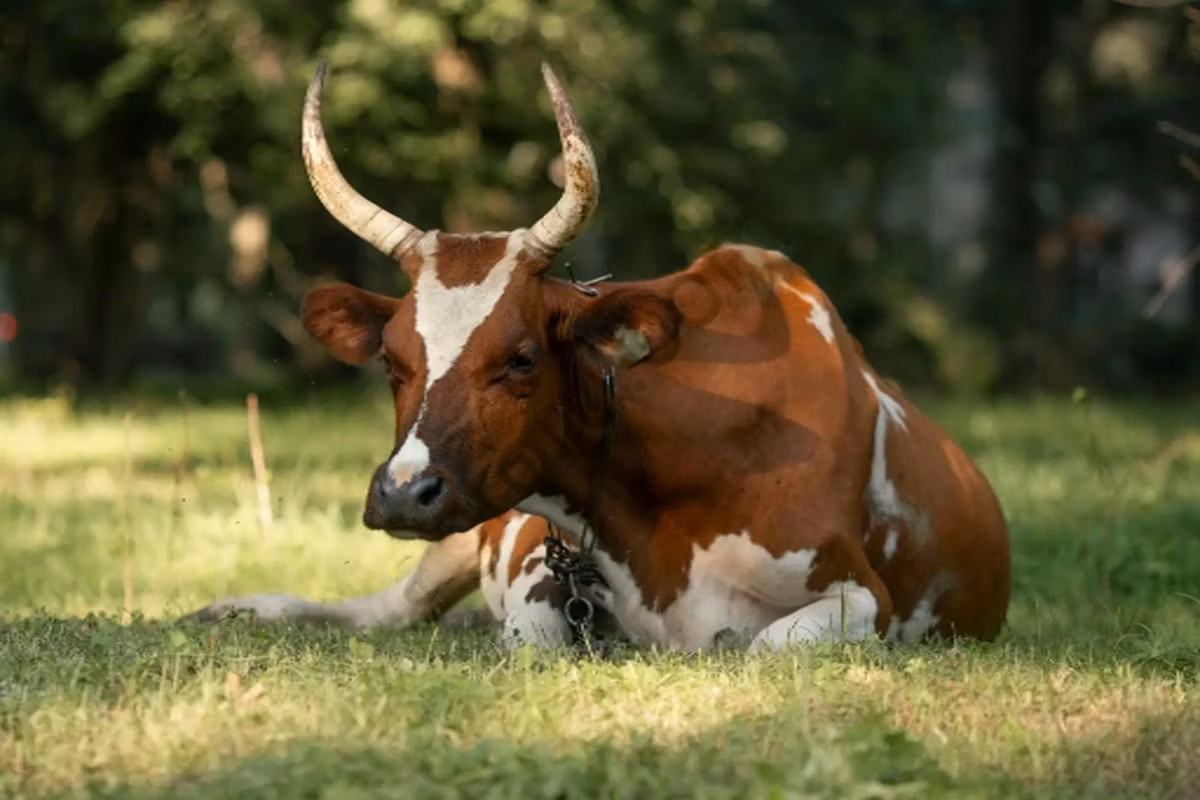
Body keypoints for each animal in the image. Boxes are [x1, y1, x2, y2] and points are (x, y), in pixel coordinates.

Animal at [184, 61, 1011, 653]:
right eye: (392, 362)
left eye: (521, 358)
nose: (402, 493)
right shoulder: (535, 572)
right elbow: (532, 634)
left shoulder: (861, 595)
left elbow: (759, 644)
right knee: (383, 612)